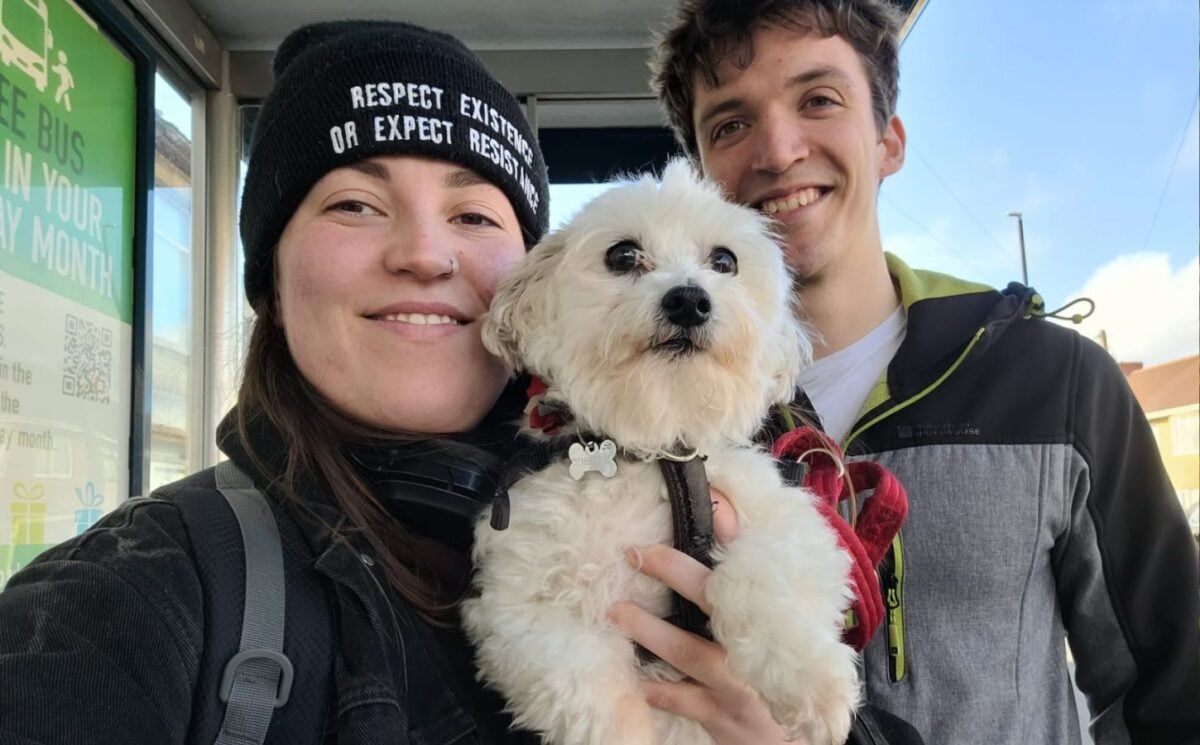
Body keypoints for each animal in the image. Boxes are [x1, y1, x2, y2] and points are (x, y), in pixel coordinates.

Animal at [460, 158, 864, 743]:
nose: (689, 300)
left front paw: (811, 682)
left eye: (724, 260)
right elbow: (588, 696)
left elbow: (763, 575)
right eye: (623, 255)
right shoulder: (520, 607)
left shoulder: (793, 523)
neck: (651, 448)